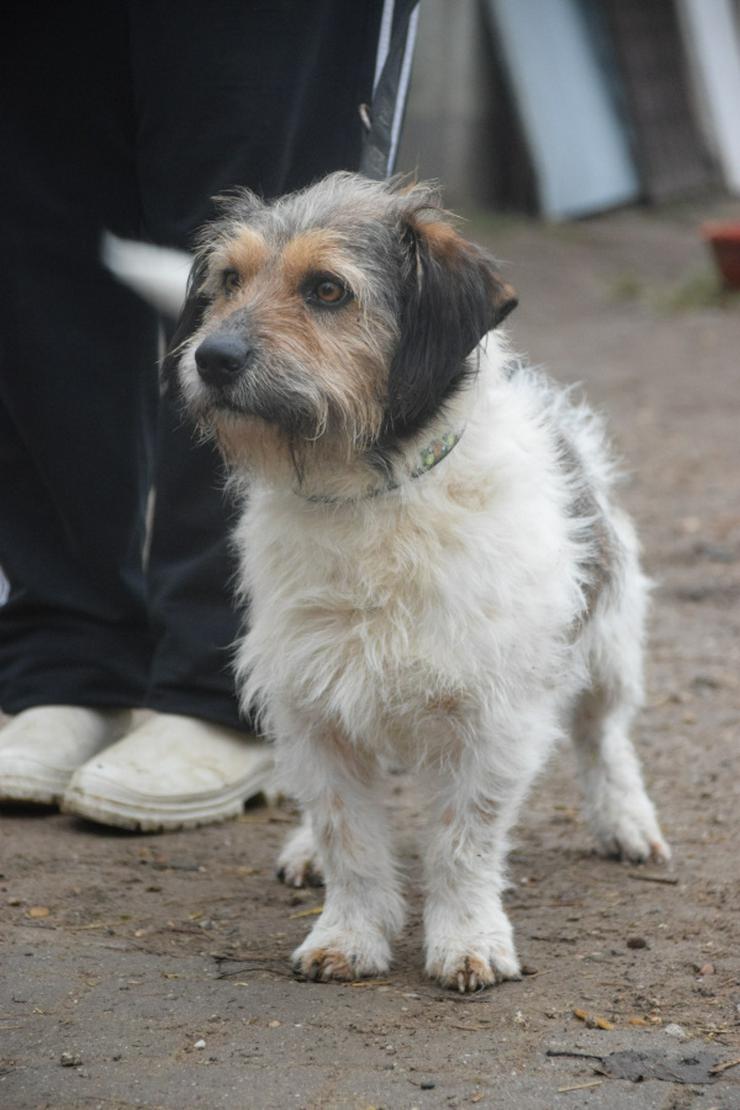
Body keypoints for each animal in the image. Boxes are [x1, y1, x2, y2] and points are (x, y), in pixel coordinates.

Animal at [159, 173, 670, 990]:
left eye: (327, 289)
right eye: (229, 280)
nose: (211, 358)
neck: (370, 496)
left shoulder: (493, 721)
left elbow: (463, 843)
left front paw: (468, 940)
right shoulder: (314, 711)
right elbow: (350, 840)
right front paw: (348, 934)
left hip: (608, 646)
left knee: (604, 739)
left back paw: (626, 821)